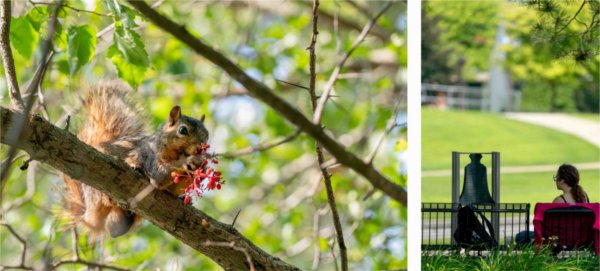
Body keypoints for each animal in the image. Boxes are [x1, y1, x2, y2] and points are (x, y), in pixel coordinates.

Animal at [63, 81, 209, 240]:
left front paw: (200, 168)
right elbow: (159, 176)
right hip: (97, 189)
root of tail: (89, 214)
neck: (177, 154)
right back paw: (133, 170)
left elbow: (175, 188)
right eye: (183, 130)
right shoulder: (149, 155)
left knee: (115, 229)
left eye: (207, 134)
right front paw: (189, 162)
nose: (201, 148)